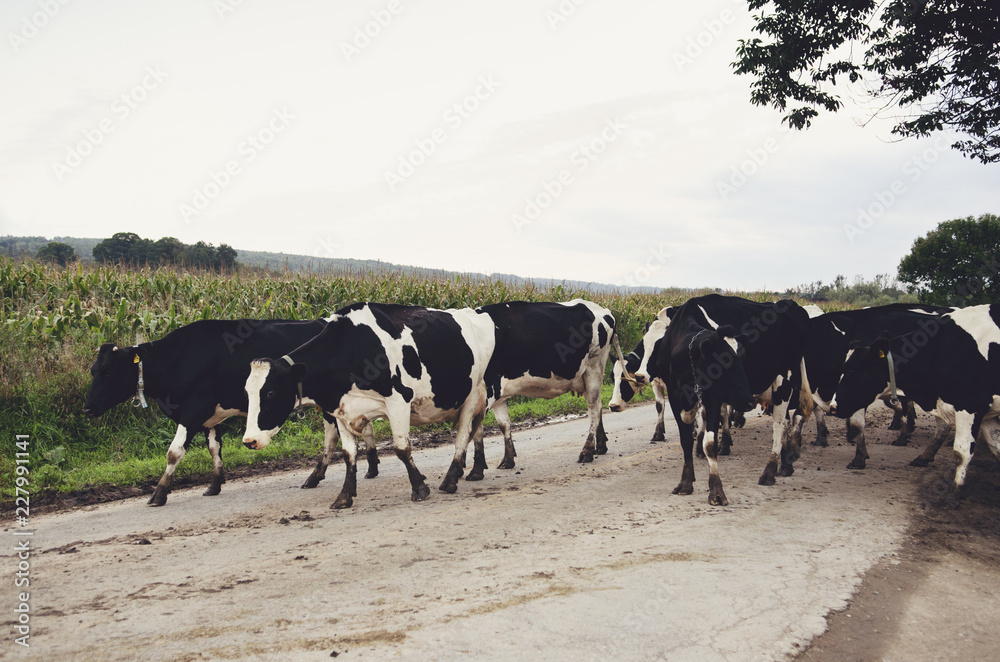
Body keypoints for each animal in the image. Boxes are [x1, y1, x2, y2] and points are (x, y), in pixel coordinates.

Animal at [82, 319, 329, 506]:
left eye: (109, 371)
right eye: (94, 371)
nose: (87, 408)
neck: (179, 358)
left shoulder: (193, 410)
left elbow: (174, 452)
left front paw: (159, 493)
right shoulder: (209, 417)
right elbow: (214, 448)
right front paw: (215, 485)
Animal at [242, 302, 495, 508]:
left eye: (271, 392)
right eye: (247, 393)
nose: (249, 440)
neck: (350, 349)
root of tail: (473, 312)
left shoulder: (399, 399)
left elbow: (401, 448)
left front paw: (419, 488)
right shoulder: (341, 410)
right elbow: (349, 455)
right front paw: (344, 496)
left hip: (473, 395)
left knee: (463, 436)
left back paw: (451, 479)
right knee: (474, 432)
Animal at [461, 299, 615, 478]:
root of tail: (601, 308)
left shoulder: (487, 392)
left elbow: (474, 431)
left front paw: (475, 470)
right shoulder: (497, 392)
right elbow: (503, 424)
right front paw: (507, 459)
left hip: (594, 367)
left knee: (593, 408)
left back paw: (587, 451)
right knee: (597, 406)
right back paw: (601, 445)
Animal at [635, 294, 813, 505]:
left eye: (658, 344)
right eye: (645, 344)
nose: (640, 375)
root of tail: (792, 305)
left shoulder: (712, 398)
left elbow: (709, 442)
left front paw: (716, 491)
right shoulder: (677, 398)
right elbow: (685, 440)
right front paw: (686, 482)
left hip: (785, 381)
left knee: (780, 424)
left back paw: (770, 471)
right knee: (785, 421)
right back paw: (784, 463)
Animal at [830, 304, 1000, 496]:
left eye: (851, 371)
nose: (833, 407)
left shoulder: (970, 405)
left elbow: (962, 452)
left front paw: (955, 492)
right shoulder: (986, 413)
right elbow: (996, 447)